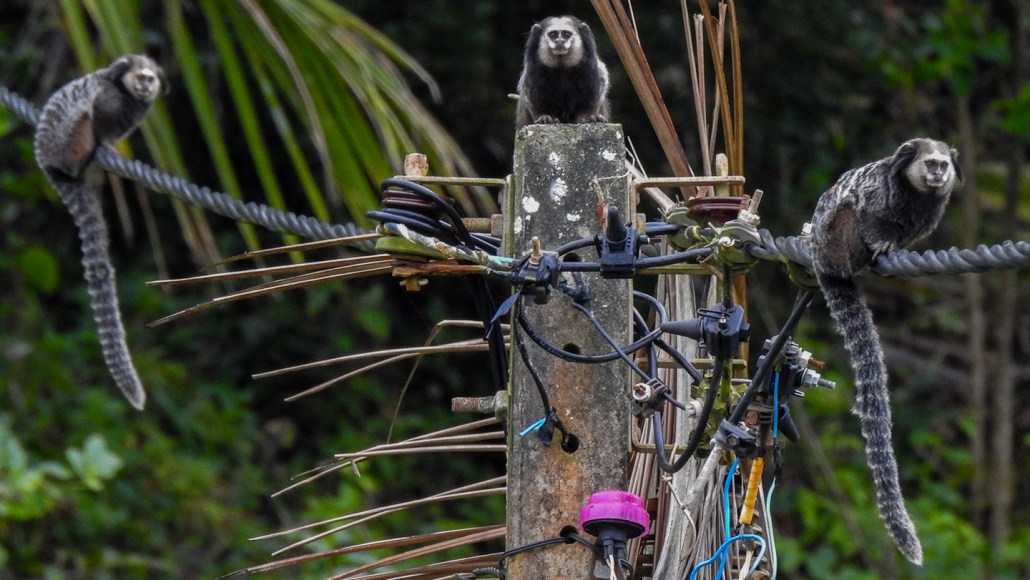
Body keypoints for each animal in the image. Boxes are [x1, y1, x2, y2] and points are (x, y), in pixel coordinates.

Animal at [33, 54, 166, 410]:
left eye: (151, 79)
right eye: (140, 77)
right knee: (82, 121)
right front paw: (106, 143)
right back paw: (89, 154)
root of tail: (51, 168)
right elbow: (99, 113)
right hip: (66, 143)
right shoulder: (109, 99)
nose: (146, 86)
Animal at [809, 138, 962, 565]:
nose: (938, 174)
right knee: (847, 217)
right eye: (930, 164)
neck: (915, 195)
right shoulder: (877, 197)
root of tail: (821, 260)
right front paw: (883, 243)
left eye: (943, 165)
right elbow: (867, 214)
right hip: (835, 239)